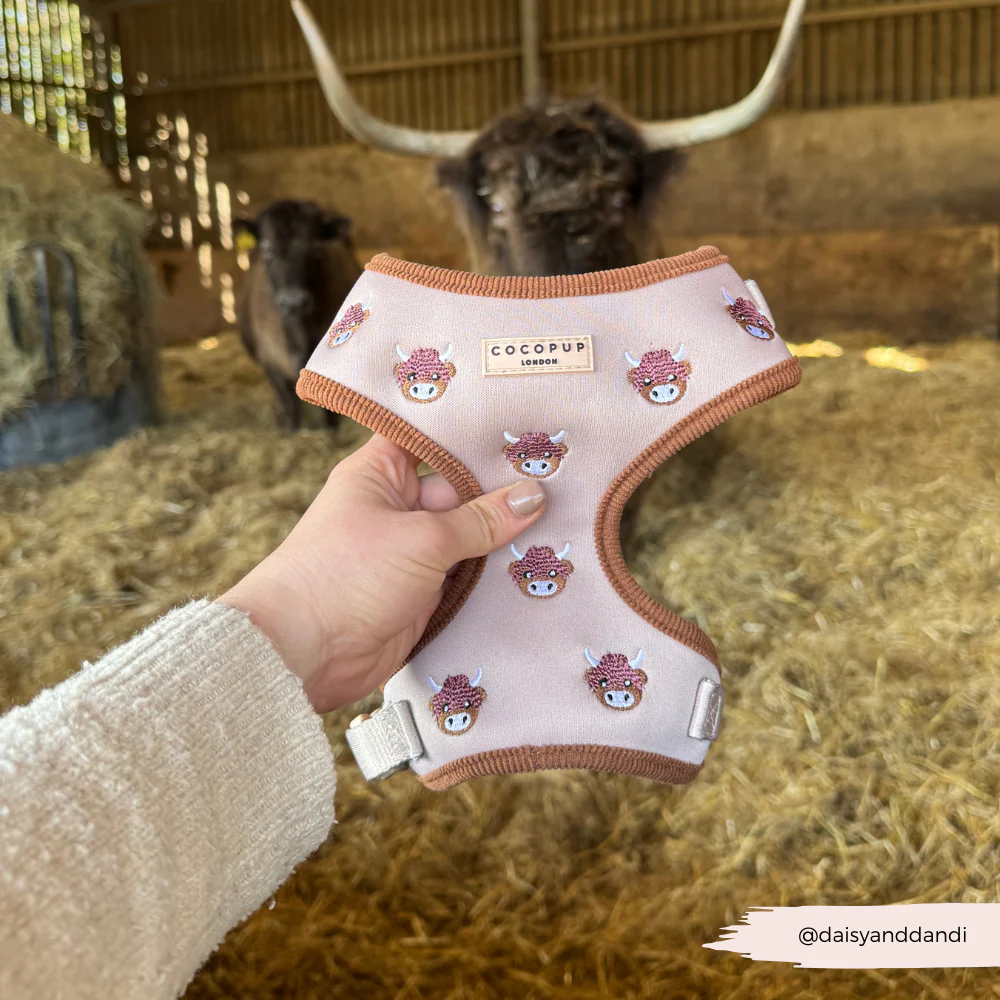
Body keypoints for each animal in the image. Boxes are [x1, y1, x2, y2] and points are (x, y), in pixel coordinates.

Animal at [237, 199, 363, 428]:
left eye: (316, 246)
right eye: (266, 247)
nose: (293, 302)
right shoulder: (269, 362)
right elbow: (289, 405)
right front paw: (291, 429)